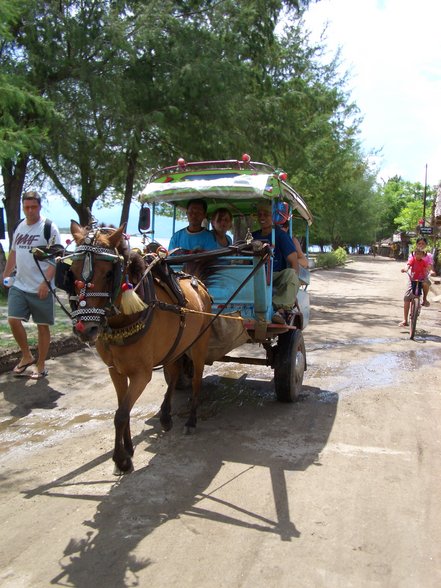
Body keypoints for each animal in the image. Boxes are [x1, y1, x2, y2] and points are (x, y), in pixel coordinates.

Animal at [67, 220, 213, 474]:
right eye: (73, 271)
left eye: (108, 273)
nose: (86, 329)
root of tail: (195, 280)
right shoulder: (115, 370)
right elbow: (121, 408)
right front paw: (128, 449)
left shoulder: (141, 375)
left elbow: (121, 414)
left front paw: (121, 459)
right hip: (175, 346)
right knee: (174, 373)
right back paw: (165, 416)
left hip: (198, 345)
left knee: (196, 380)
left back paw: (191, 419)